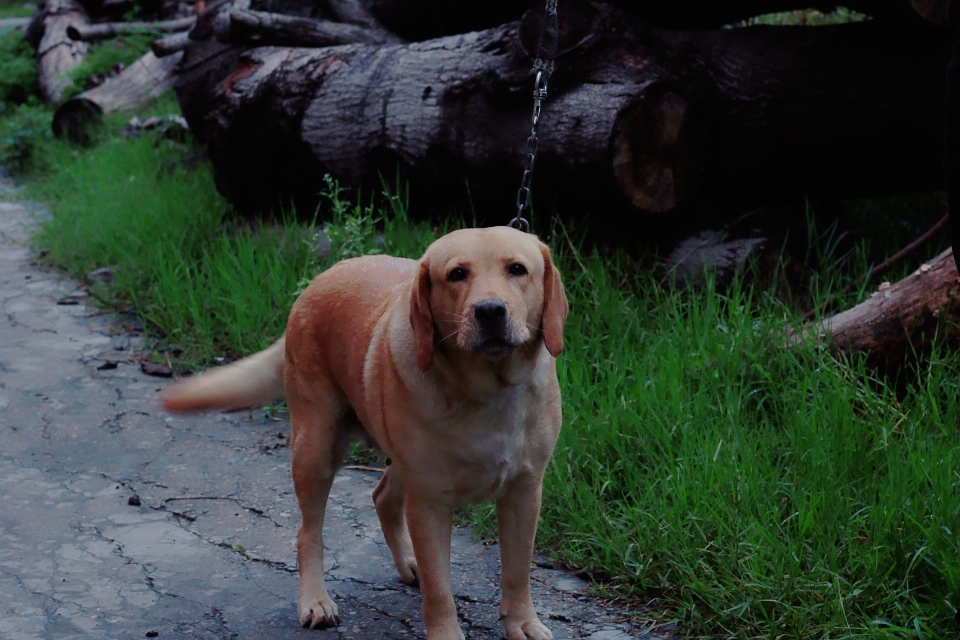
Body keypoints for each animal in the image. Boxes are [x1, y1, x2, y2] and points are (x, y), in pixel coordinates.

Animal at [163, 226, 568, 640]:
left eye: (517, 269)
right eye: (457, 274)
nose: (489, 310)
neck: (486, 393)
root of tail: (320, 279)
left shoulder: (524, 492)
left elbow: (517, 571)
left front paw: (522, 622)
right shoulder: (429, 502)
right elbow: (440, 588)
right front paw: (446, 631)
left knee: (383, 495)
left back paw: (407, 561)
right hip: (316, 447)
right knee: (308, 533)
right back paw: (315, 599)